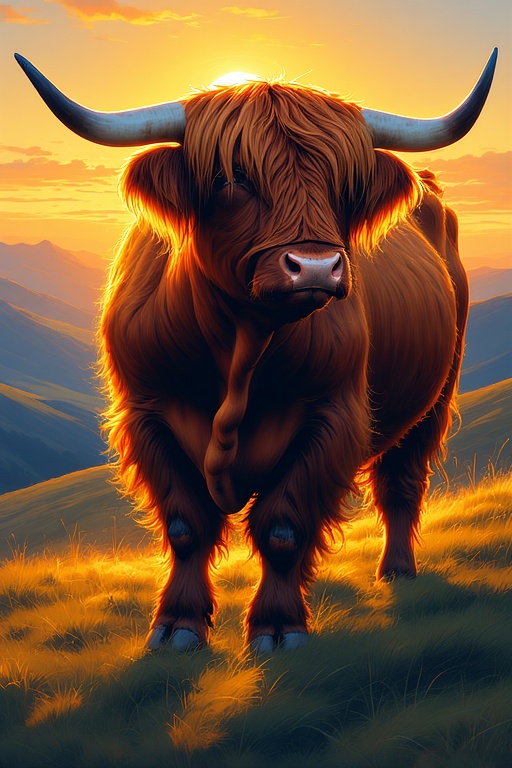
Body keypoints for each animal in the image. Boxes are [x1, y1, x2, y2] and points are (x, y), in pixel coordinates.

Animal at [16, 50, 497, 653]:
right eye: (232, 177)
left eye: (346, 181)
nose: (315, 267)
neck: (242, 343)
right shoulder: (147, 415)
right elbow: (186, 525)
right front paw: (176, 627)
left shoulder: (331, 417)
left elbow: (283, 526)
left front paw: (278, 628)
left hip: (436, 397)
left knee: (402, 482)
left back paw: (398, 572)